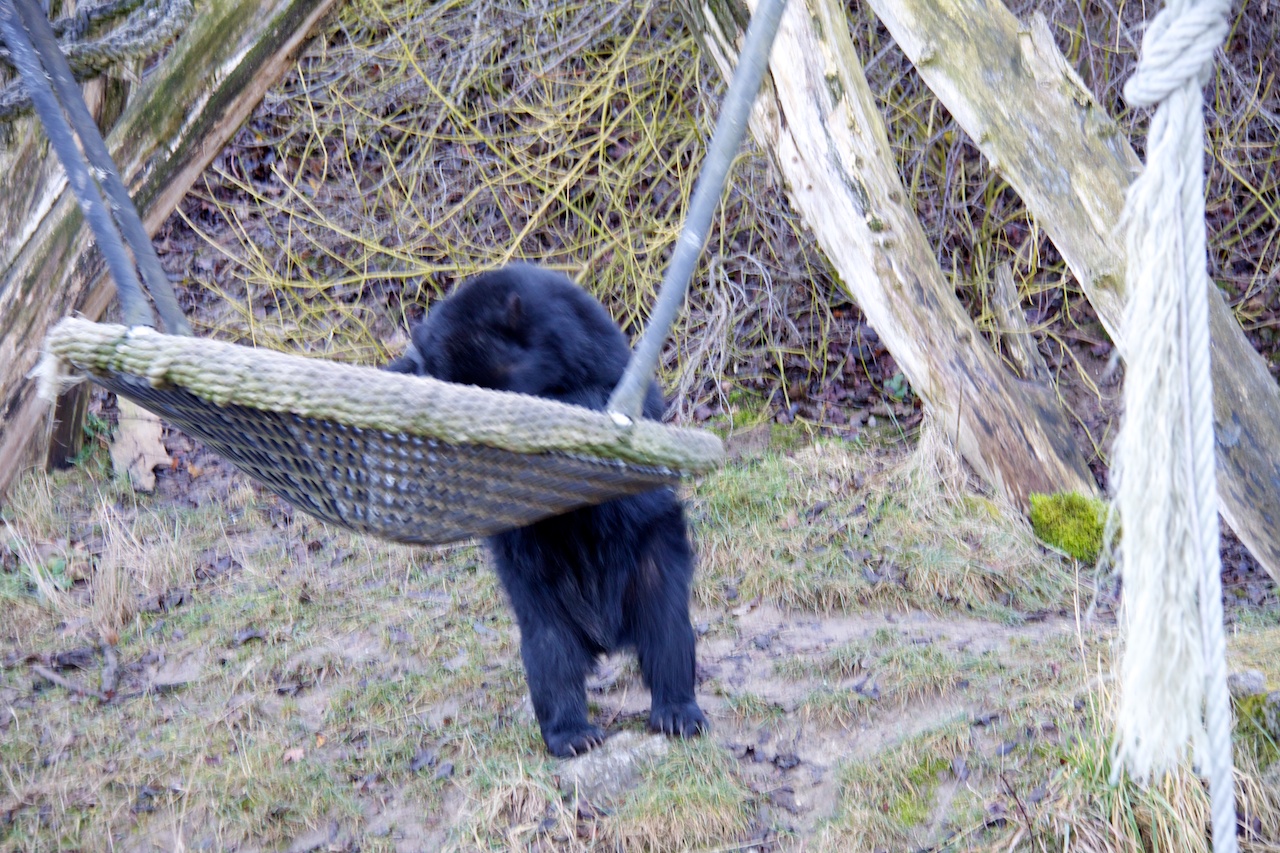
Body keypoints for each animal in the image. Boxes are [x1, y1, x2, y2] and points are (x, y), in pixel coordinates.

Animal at [386, 264, 707, 757]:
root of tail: (603, 631)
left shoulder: (586, 342)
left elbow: (608, 396)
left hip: (650, 554)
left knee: (667, 631)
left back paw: (677, 712)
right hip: (535, 588)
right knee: (549, 657)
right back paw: (572, 734)